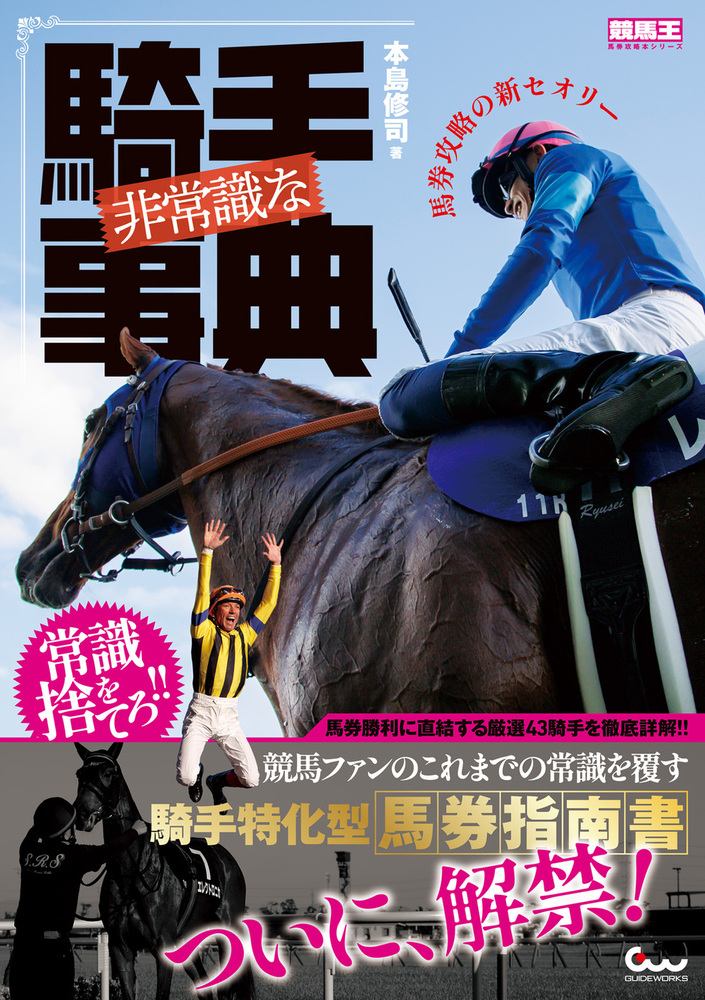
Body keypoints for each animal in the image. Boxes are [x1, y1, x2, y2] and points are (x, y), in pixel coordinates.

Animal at [73, 742, 254, 1000]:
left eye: (108, 773)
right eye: (80, 774)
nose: (81, 814)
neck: (131, 873)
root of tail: (228, 859)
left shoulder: (162, 945)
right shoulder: (120, 948)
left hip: (227, 930)